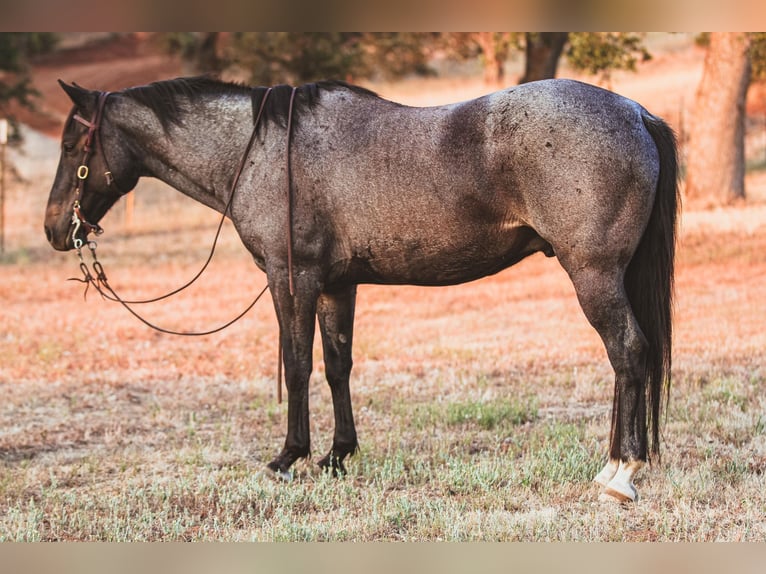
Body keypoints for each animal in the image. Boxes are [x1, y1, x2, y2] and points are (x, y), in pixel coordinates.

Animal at [44, 76, 678, 503]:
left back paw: (622, 473)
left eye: (73, 147)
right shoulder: (335, 287)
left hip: (593, 274)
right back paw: (612, 465)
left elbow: (297, 364)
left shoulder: (291, 279)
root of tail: (633, 112)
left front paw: (288, 458)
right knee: (629, 360)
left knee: (628, 352)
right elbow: (336, 367)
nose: (54, 230)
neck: (265, 150)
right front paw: (336, 456)